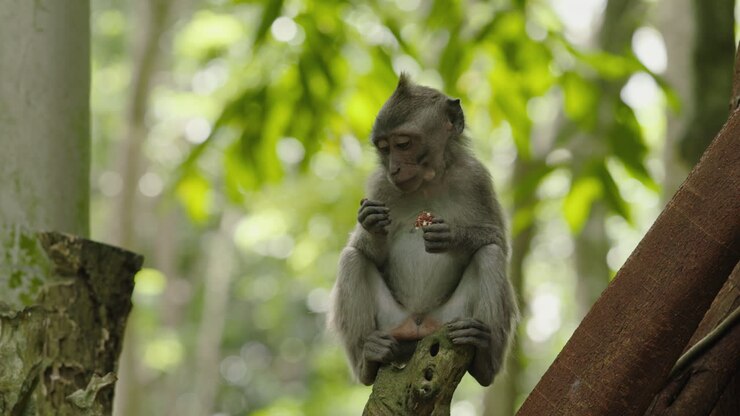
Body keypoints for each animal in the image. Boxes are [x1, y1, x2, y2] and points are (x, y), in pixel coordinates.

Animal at [328, 73, 519, 387]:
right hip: (392, 322)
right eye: (384, 147)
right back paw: (369, 361)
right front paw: (371, 223)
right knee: (351, 258)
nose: (394, 168)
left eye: (403, 144)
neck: (429, 180)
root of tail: (419, 325)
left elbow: (498, 242)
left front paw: (452, 236)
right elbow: (363, 249)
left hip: (451, 318)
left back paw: (482, 358)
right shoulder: (380, 186)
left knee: (490, 254)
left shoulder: (476, 177)